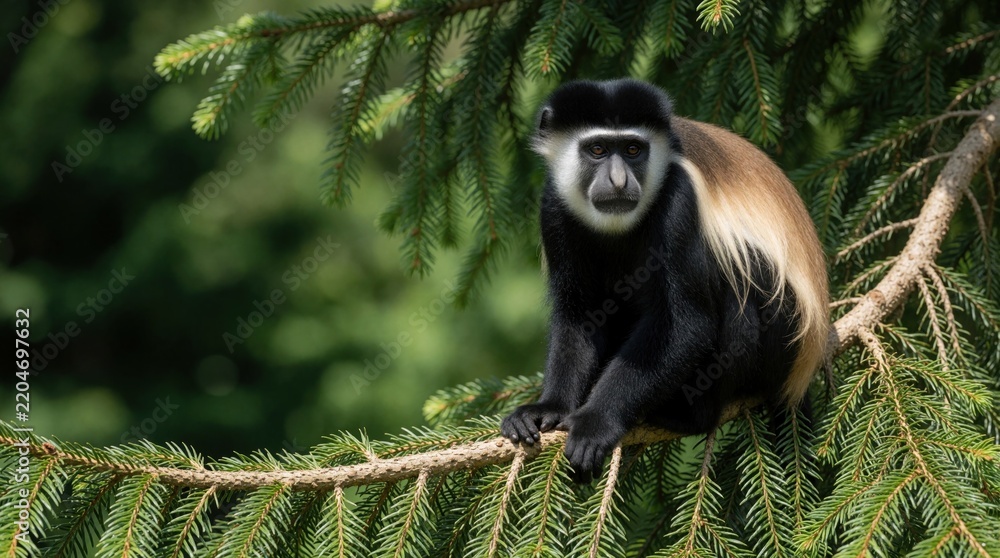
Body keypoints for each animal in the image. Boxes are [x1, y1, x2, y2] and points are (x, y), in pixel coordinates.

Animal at [500, 79, 829, 482]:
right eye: (597, 149)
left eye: (632, 149)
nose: (618, 181)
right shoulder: (554, 206)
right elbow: (579, 316)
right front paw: (547, 409)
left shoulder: (679, 197)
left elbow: (686, 324)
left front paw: (595, 422)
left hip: (781, 335)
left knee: (743, 282)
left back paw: (686, 415)